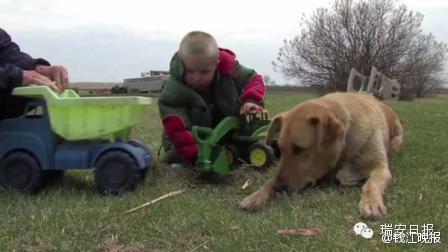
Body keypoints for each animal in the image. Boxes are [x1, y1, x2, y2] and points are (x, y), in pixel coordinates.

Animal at [240, 92, 404, 219]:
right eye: (280, 148)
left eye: (299, 149)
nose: (278, 188)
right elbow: (270, 179)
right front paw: (257, 195)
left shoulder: (380, 167)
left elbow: (371, 183)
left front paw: (371, 202)